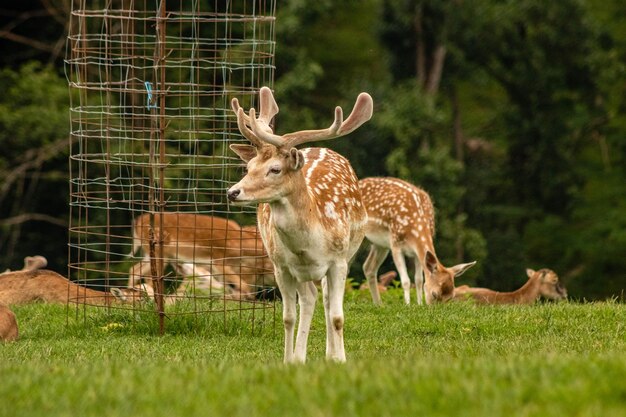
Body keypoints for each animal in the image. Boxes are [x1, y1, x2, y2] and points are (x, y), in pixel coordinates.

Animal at [227, 85, 370, 360]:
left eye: (275, 169)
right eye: (248, 167)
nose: (233, 192)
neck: (311, 241)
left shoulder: (338, 261)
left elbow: (337, 316)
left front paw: (340, 359)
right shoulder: (281, 265)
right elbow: (288, 317)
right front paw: (289, 360)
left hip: (347, 253)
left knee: (325, 299)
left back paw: (330, 354)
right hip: (298, 270)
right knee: (310, 299)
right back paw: (300, 357)